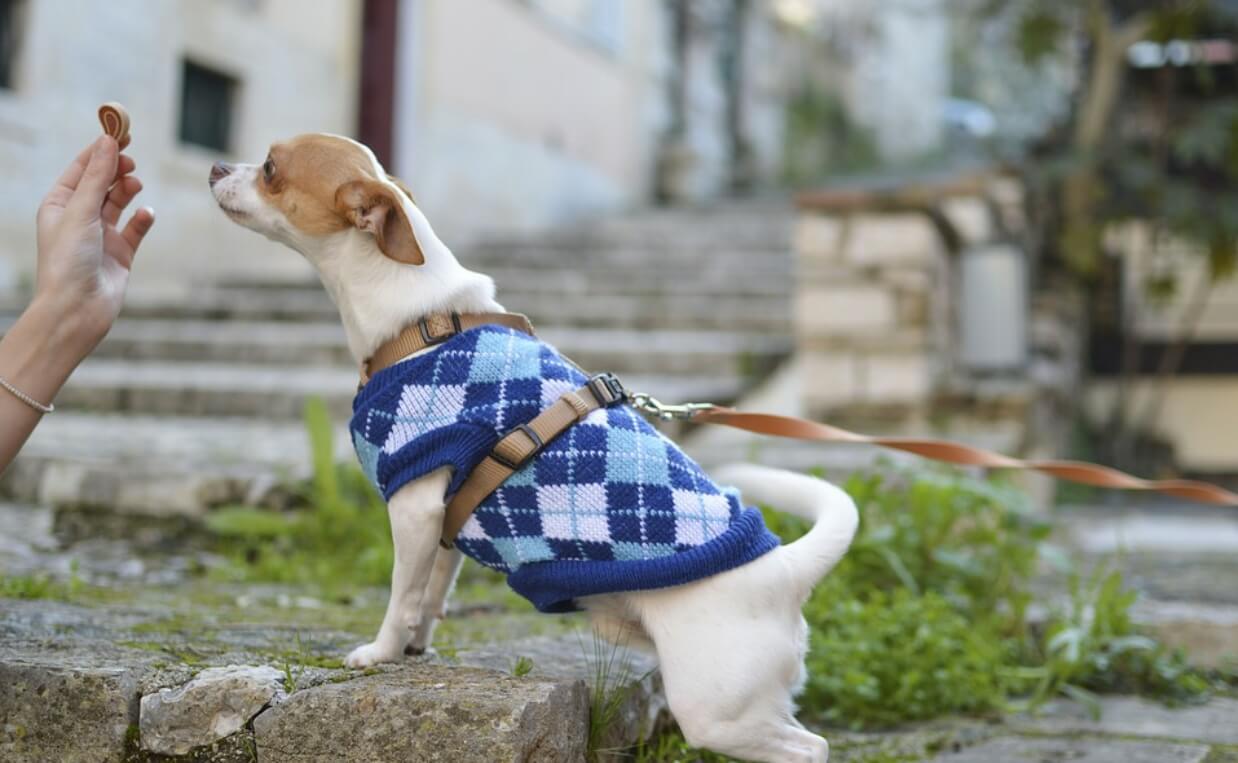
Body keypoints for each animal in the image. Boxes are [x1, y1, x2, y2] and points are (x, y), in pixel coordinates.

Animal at [207, 134, 856, 758]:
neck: (423, 321)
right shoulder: (445, 519)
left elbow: (401, 594)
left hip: (715, 710)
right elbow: (431, 593)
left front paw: (381, 652)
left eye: (271, 168)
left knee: (811, 747)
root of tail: (786, 568)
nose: (215, 167)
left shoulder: (412, 506)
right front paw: (417, 647)